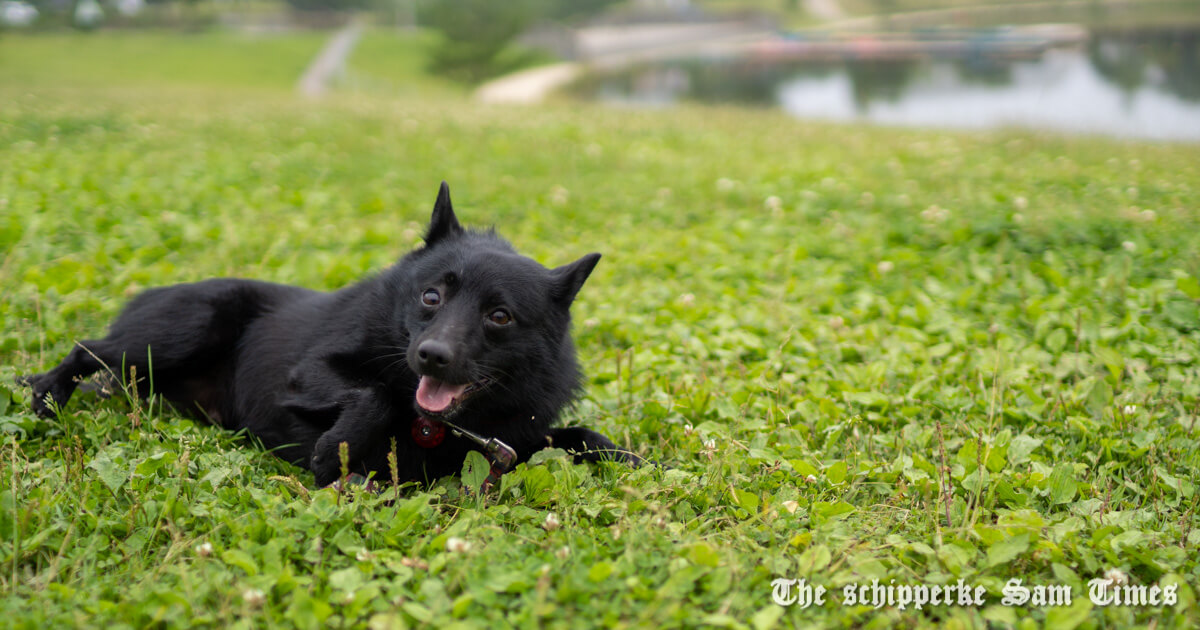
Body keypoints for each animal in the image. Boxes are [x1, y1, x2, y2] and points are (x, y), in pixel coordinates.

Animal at [25, 181, 638, 487]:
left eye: (500, 316)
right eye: (431, 297)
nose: (430, 356)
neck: (434, 424)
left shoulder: (514, 440)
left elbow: (578, 434)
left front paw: (634, 460)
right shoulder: (310, 373)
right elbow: (371, 393)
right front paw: (335, 452)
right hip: (185, 327)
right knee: (89, 350)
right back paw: (47, 393)